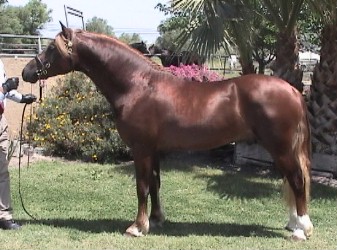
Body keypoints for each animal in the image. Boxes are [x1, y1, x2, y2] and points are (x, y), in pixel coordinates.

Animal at [22, 23, 312, 240]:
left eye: (52, 48)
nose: (26, 72)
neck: (137, 85)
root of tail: (292, 90)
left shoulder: (140, 149)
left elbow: (141, 186)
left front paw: (137, 227)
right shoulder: (154, 150)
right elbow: (155, 184)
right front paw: (156, 219)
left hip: (282, 149)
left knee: (297, 181)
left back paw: (302, 229)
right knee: (292, 181)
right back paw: (293, 224)